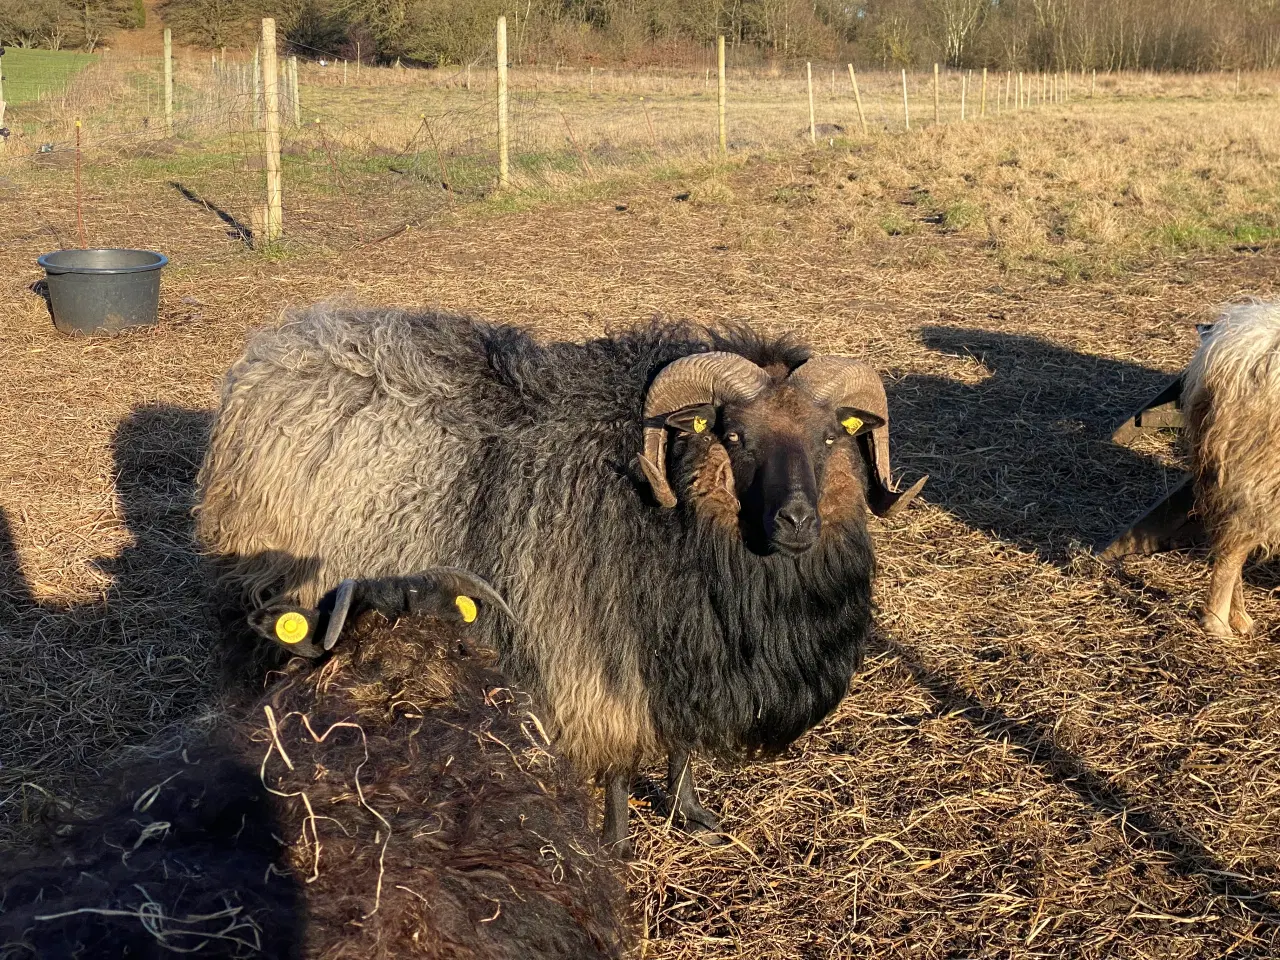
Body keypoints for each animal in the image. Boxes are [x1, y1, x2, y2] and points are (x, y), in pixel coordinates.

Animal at [194, 305, 926, 849]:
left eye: (831, 436)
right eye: (736, 436)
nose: (797, 521)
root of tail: (283, 343)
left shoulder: (686, 657)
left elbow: (681, 747)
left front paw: (691, 816)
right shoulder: (593, 658)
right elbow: (619, 764)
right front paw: (615, 844)